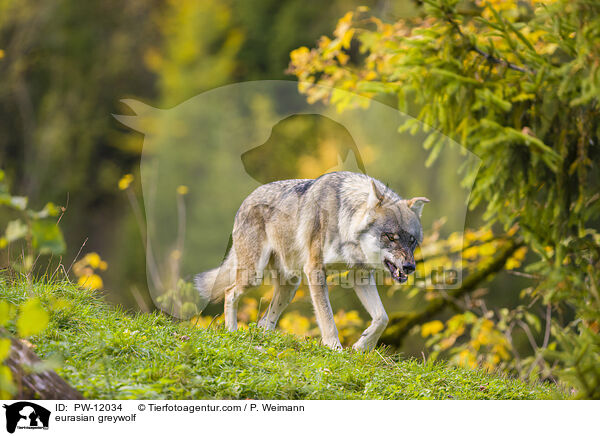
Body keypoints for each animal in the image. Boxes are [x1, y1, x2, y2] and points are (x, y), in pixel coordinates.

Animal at [195, 171, 428, 350]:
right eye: (390, 237)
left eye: (412, 241)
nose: (410, 267)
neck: (346, 221)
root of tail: (246, 199)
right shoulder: (315, 270)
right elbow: (327, 318)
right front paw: (335, 349)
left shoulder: (359, 275)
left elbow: (382, 317)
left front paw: (362, 346)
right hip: (254, 275)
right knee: (229, 292)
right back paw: (232, 331)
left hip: (290, 286)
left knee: (264, 321)